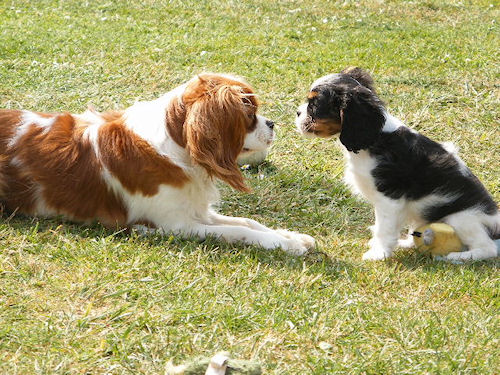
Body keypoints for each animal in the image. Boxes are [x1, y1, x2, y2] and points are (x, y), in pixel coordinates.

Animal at [0, 73, 314, 256]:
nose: (272, 123)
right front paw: (287, 245)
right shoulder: (175, 223)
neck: (176, 148)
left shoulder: (195, 209)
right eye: (249, 114)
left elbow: (248, 222)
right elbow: (238, 231)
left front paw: (292, 236)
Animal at [294, 67, 498, 262]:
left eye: (314, 105)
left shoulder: (389, 198)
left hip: (462, 218)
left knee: (488, 248)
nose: (297, 112)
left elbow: (384, 228)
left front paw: (379, 254)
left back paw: (458, 257)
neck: (376, 138)